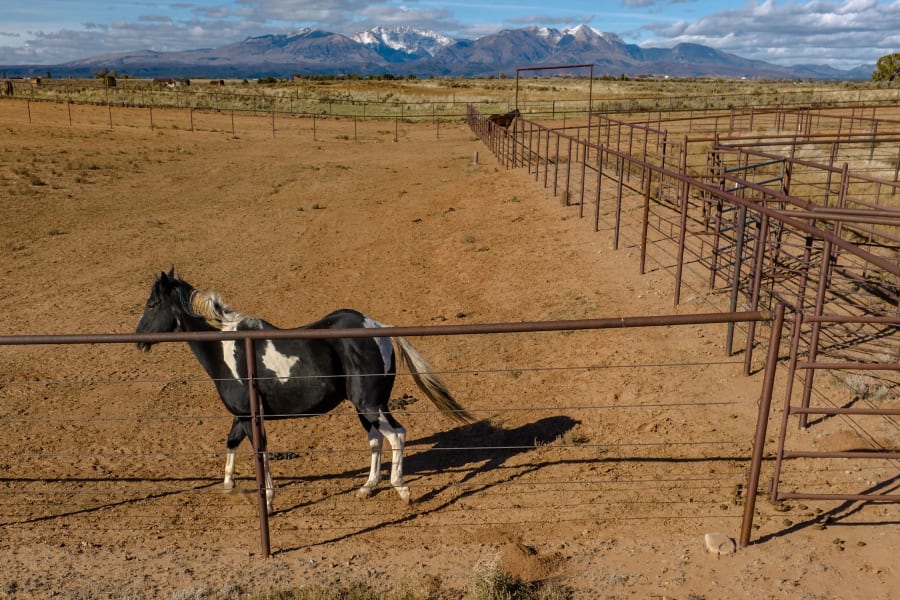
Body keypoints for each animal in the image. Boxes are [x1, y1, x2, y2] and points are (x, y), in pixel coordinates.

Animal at [135, 270, 472, 512]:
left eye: (152, 305)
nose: (139, 340)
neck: (227, 349)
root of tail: (379, 328)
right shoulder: (241, 414)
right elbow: (231, 443)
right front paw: (229, 486)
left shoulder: (250, 415)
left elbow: (259, 451)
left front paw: (269, 500)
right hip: (366, 406)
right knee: (376, 439)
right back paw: (367, 488)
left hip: (369, 403)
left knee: (396, 435)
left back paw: (402, 490)